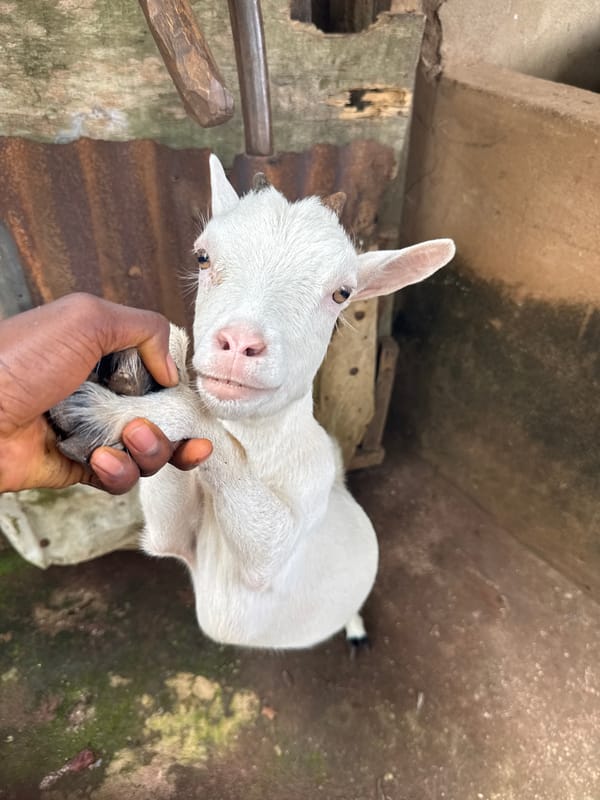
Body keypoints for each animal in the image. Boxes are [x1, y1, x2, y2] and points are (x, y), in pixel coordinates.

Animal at [51, 155, 455, 650]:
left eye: (342, 293)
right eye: (202, 256)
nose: (240, 343)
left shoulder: (278, 549)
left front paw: (105, 413)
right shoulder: (176, 541)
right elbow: (166, 525)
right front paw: (153, 364)